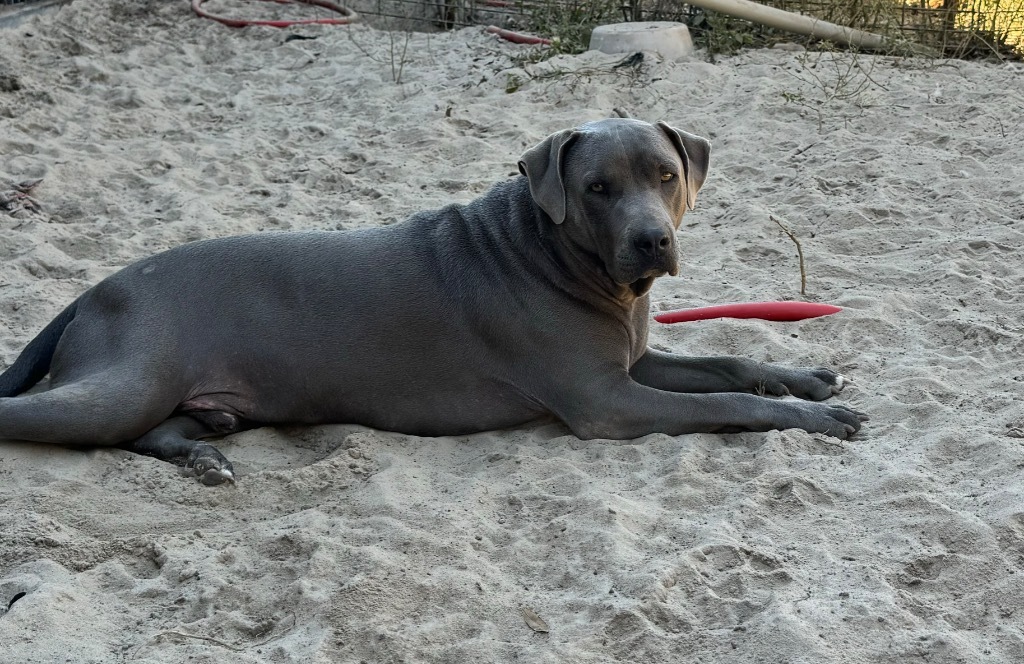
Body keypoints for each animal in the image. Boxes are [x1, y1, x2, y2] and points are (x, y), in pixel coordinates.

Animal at [0, 117, 864, 481]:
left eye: (664, 174)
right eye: (597, 187)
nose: (652, 239)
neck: (559, 255)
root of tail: (91, 291)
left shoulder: (633, 362)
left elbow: (728, 361)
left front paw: (807, 380)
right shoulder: (605, 401)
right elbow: (729, 402)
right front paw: (813, 418)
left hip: (197, 396)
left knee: (160, 429)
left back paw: (202, 455)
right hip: (126, 379)